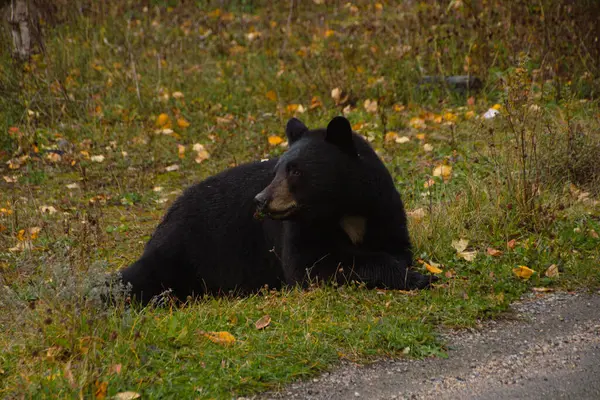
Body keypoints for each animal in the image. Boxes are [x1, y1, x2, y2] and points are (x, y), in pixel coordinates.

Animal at [118, 115, 436, 304]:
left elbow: (396, 247)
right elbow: (309, 265)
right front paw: (419, 277)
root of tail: (166, 215)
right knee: (141, 277)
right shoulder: (299, 229)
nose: (260, 199)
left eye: (295, 171)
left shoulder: (383, 208)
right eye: (277, 170)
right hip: (184, 248)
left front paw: (414, 272)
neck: (343, 208)